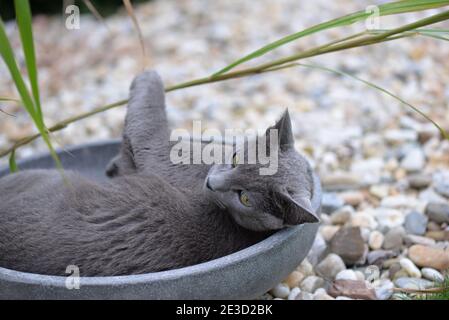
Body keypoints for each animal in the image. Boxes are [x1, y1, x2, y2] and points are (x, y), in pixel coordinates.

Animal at [0, 71, 316, 276]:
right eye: (236, 158)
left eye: (246, 199)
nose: (212, 184)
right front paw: (112, 166)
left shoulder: (159, 150)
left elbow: (146, 118)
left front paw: (148, 74)